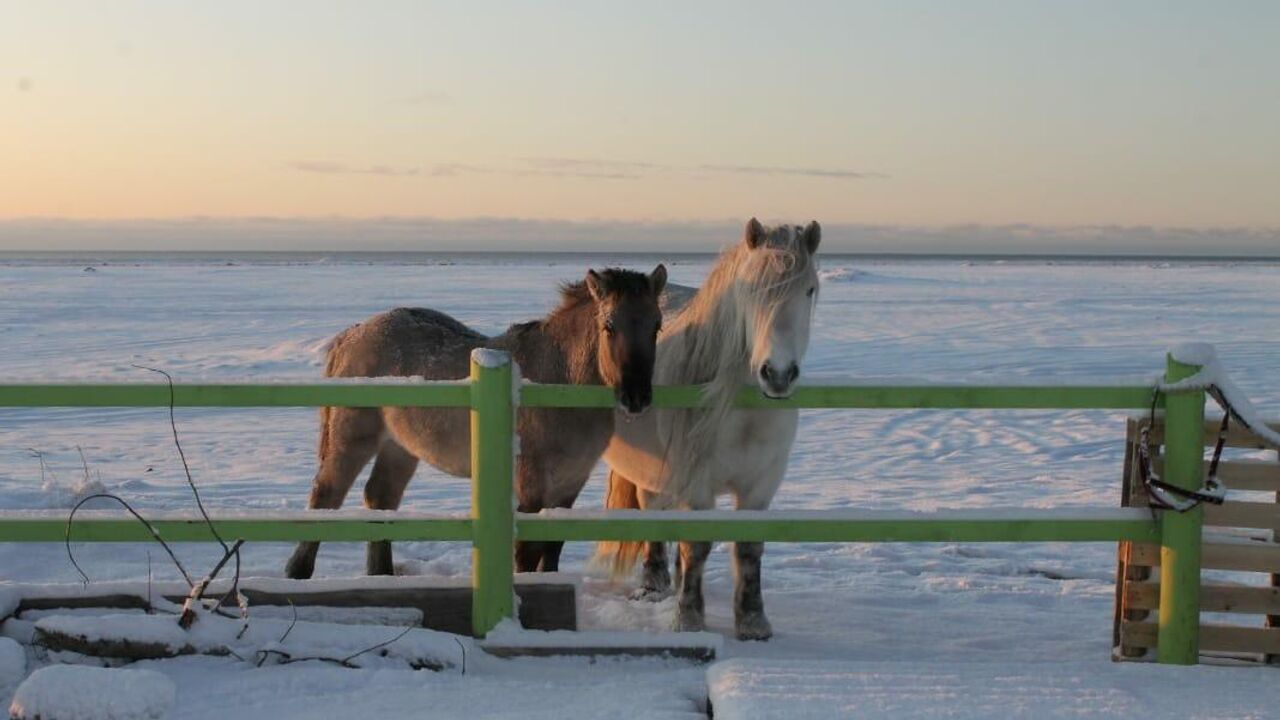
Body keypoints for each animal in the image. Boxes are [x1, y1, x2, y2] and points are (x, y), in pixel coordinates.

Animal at [288, 265, 670, 576]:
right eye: (609, 326)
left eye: (656, 325)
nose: (636, 397)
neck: (557, 379)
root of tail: (351, 335)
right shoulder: (531, 487)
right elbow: (527, 556)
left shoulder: (568, 486)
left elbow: (552, 551)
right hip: (352, 440)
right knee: (326, 496)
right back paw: (299, 572)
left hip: (400, 448)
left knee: (380, 497)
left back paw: (382, 575)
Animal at [596, 215, 819, 635]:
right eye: (750, 290)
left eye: (810, 289)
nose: (778, 374)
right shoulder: (697, 480)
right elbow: (696, 545)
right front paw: (688, 618)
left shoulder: (761, 485)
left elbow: (748, 547)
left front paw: (753, 621)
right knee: (654, 516)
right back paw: (654, 586)